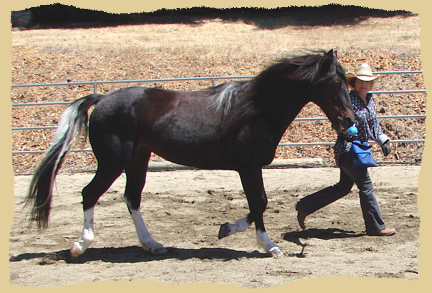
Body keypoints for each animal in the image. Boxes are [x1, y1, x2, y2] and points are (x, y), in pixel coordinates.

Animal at [25, 49, 354, 256]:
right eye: (335, 81)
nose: (349, 120)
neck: (255, 111)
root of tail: (102, 99)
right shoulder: (248, 167)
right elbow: (259, 202)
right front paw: (269, 246)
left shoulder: (249, 168)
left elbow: (256, 205)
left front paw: (225, 229)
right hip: (113, 162)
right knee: (90, 194)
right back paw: (80, 246)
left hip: (137, 160)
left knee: (132, 198)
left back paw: (152, 244)